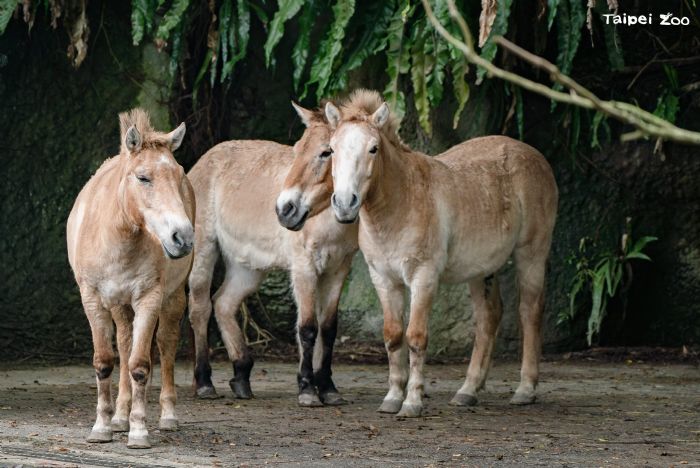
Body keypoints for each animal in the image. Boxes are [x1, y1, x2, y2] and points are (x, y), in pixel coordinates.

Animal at [66, 108, 194, 448]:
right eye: (143, 177)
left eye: (179, 176)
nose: (183, 237)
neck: (118, 237)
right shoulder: (94, 300)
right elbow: (105, 361)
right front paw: (102, 426)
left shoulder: (149, 299)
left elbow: (140, 365)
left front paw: (139, 431)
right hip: (119, 306)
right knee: (123, 344)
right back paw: (119, 417)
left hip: (172, 298)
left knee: (165, 343)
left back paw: (167, 416)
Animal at [187, 102, 358, 407]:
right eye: (297, 149)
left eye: (327, 151)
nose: (285, 210)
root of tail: (205, 159)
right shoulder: (304, 268)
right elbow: (307, 328)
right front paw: (307, 390)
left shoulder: (339, 268)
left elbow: (328, 329)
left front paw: (328, 388)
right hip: (205, 248)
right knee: (200, 306)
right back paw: (205, 382)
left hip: (248, 267)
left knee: (224, 303)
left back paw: (241, 375)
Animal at [282, 89, 558, 417]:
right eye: (333, 149)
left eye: (373, 148)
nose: (345, 204)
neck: (400, 205)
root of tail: (534, 155)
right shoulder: (384, 279)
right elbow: (392, 336)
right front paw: (392, 398)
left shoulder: (423, 278)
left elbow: (415, 337)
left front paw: (412, 403)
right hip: (481, 270)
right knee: (488, 317)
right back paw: (467, 391)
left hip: (532, 254)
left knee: (530, 311)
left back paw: (525, 389)